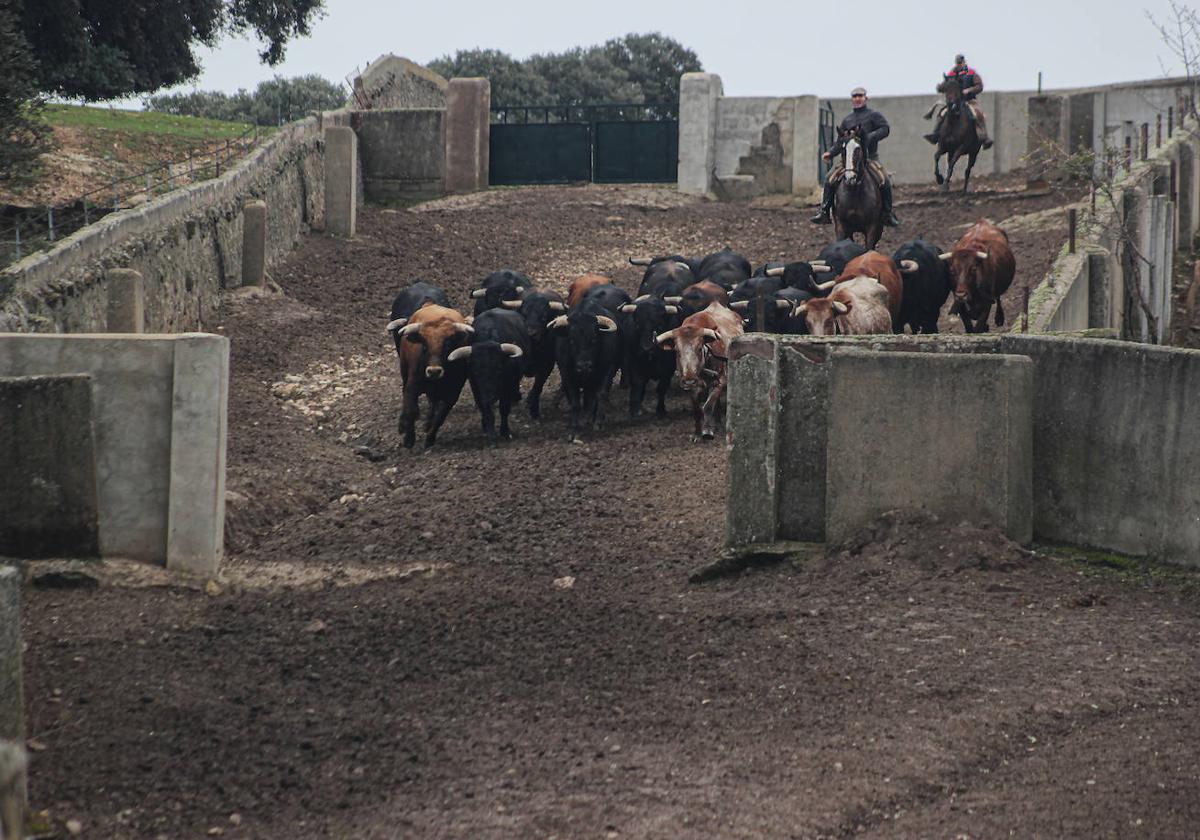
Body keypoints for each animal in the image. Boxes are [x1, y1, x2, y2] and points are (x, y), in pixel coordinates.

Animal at [388, 304, 472, 448]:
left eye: (448, 344)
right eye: (424, 345)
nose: (434, 371)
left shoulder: (453, 394)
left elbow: (440, 417)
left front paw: (430, 438)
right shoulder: (412, 386)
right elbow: (410, 409)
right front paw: (408, 438)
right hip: (404, 370)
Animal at [652, 302, 744, 439]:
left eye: (700, 348)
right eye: (677, 351)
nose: (689, 380)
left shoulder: (721, 380)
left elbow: (708, 406)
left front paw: (707, 431)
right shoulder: (691, 387)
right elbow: (696, 410)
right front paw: (697, 433)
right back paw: (717, 422)